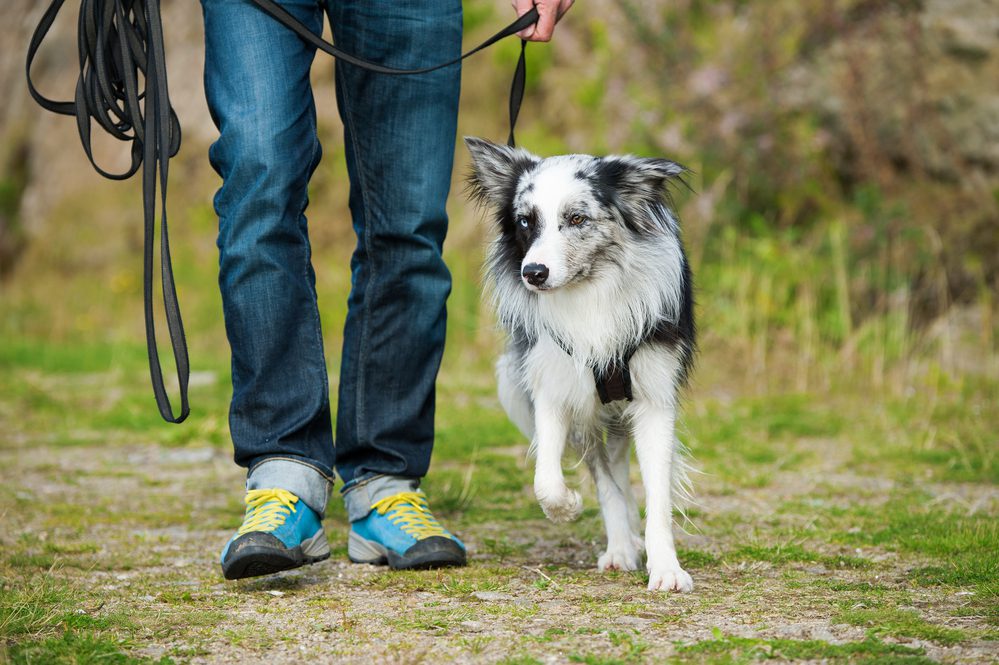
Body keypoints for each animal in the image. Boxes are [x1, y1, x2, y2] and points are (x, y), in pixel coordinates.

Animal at [466, 136, 696, 592]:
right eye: (525, 221)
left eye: (576, 218)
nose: (533, 273)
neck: (590, 292)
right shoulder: (556, 390)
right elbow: (550, 480)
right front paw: (571, 508)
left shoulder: (654, 399)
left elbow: (658, 493)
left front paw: (666, 568)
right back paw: (621, 543)